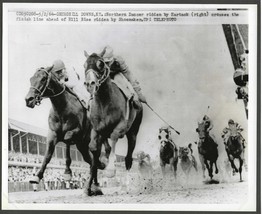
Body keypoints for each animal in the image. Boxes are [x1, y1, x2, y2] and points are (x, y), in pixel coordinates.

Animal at [25, 66, 110, 195]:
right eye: (31, 79)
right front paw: (37, 176)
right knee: (90, 160)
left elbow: (67, 140)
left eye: (43, 79)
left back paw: (91, 186)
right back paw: (94, 186)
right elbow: (47, 155)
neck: (62, 108)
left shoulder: (76, 131)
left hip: (94, 141)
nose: (28, 99)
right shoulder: (53, 134)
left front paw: (67, 172)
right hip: (82, 146)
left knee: (94, 159)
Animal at [83, 51, 143, 181]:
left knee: (128, 158)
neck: (104, 103)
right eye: (84, 65)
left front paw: (110, 169)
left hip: (133, 133)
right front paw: (100, 164)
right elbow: (93, 147)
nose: (90, 84)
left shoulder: (121, 125)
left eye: (100, 64)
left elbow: (114, 136)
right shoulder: (97, 128)